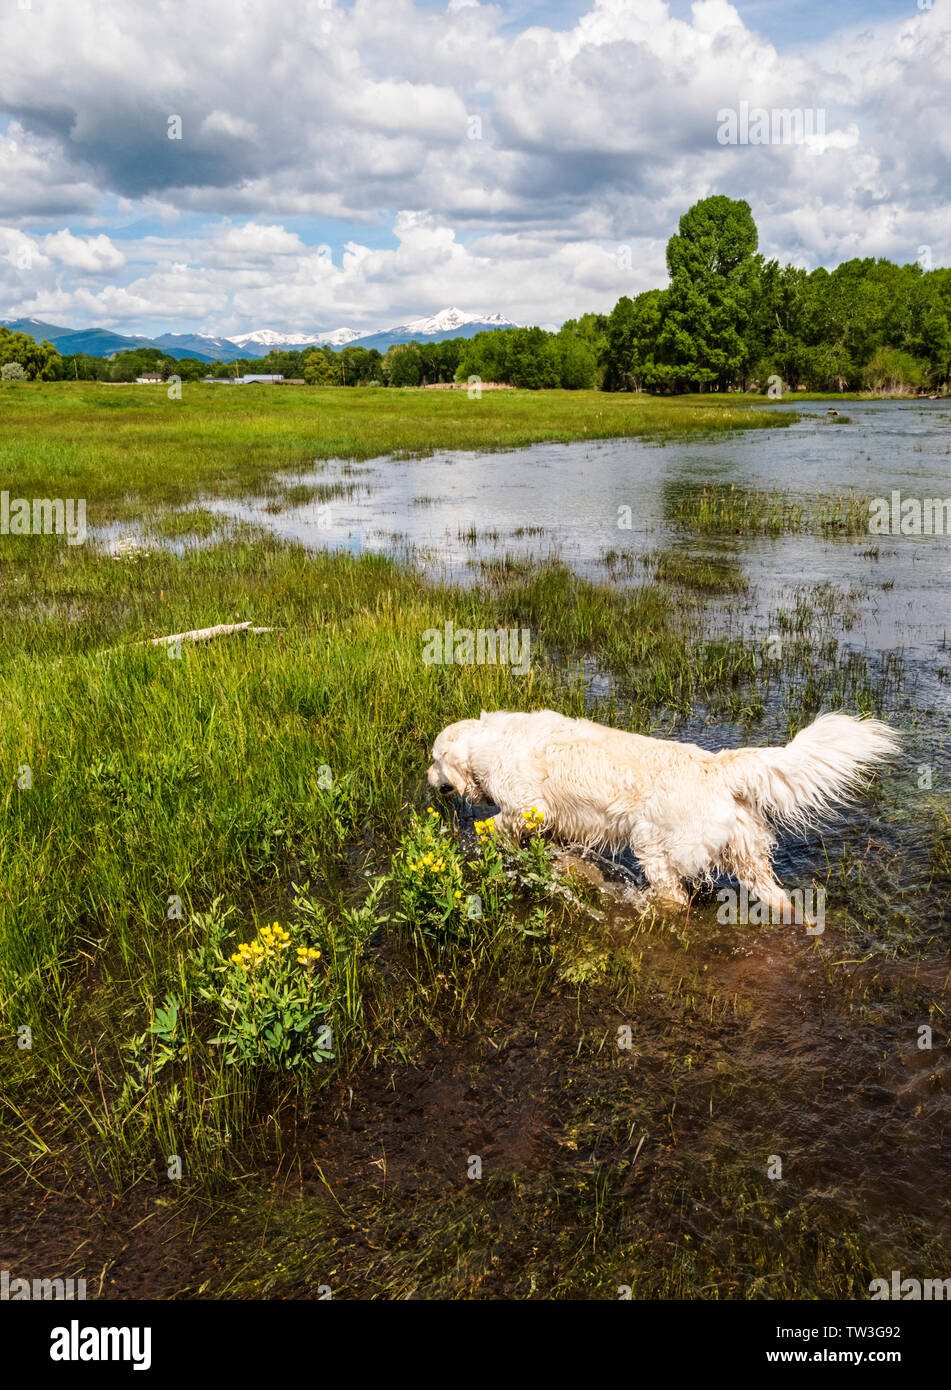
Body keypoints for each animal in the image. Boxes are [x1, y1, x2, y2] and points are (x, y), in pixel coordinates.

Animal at [431, 711, 900, 917]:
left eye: (435, 760)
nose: (429, 779)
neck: (487, 739)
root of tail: (716, 766)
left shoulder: (530, 807)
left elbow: (496, 823)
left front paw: (485, 837)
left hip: (653, 845)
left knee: (675, 897)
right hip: (746, 853)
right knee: (777, 897)